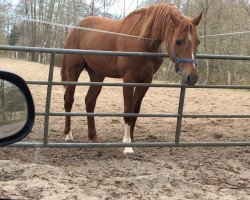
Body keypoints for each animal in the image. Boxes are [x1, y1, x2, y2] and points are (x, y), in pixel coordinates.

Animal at [61, 2, 202, 153]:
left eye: (198, 42)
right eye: (179, 41)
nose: (192, 77)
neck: (141, 42)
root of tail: (75, 28)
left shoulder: (145, 81)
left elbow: (135, 110)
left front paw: (131, 139)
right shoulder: (128, 79)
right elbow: (128, 111)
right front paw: (127, 145)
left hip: (97, 75)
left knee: (89, 102)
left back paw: (93, 136)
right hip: (74, 70)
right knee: (68, 100)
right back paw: (68, 135)